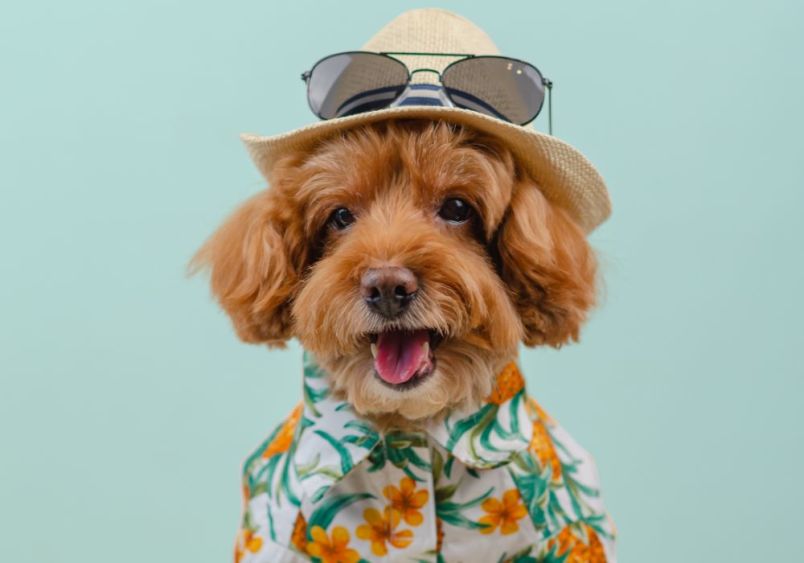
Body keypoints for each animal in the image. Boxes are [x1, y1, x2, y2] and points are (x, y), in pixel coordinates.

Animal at [193, 121, 616, 560]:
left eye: (457, 208)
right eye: (340, 215)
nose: (387, 287)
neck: (407, 423)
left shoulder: (568, 529)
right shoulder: (274, 534)